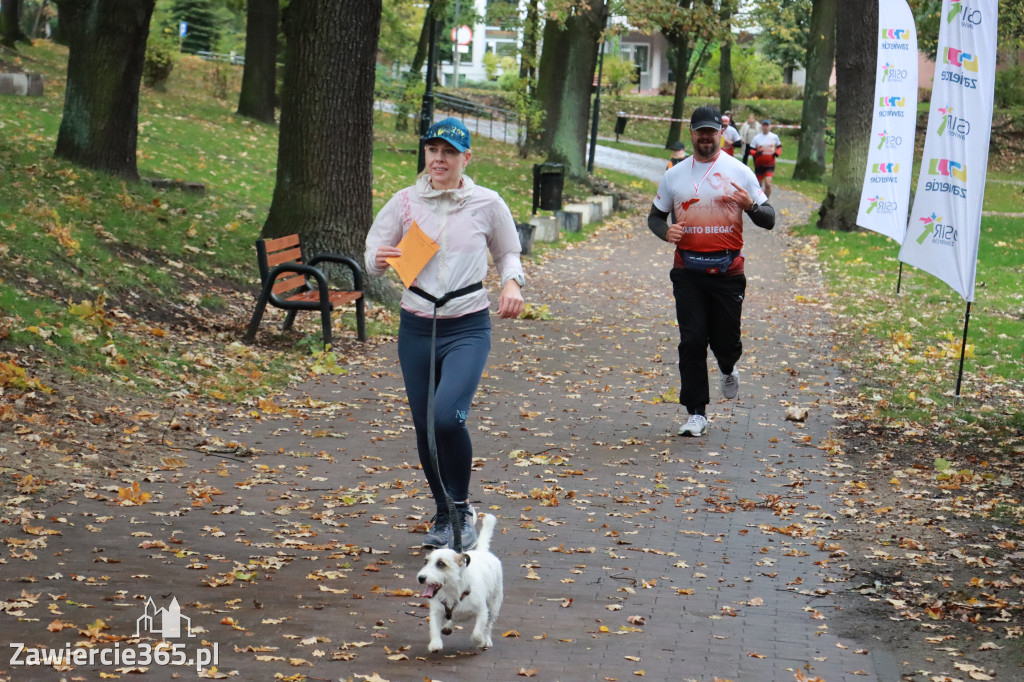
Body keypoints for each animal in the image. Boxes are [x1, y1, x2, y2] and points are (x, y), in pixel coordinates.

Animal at [415, 512, 503, 651]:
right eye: (426, 562)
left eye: (441, 564)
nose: (421, 578)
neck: (453, 592)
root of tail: (482, 552)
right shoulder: (436, 612)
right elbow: (434, 629)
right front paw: (435, 643)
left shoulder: (482, 612)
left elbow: (478, 632)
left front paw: (479, 640)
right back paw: (448, 626)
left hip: (494, 605)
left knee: (489, 625)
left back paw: (486, 640)